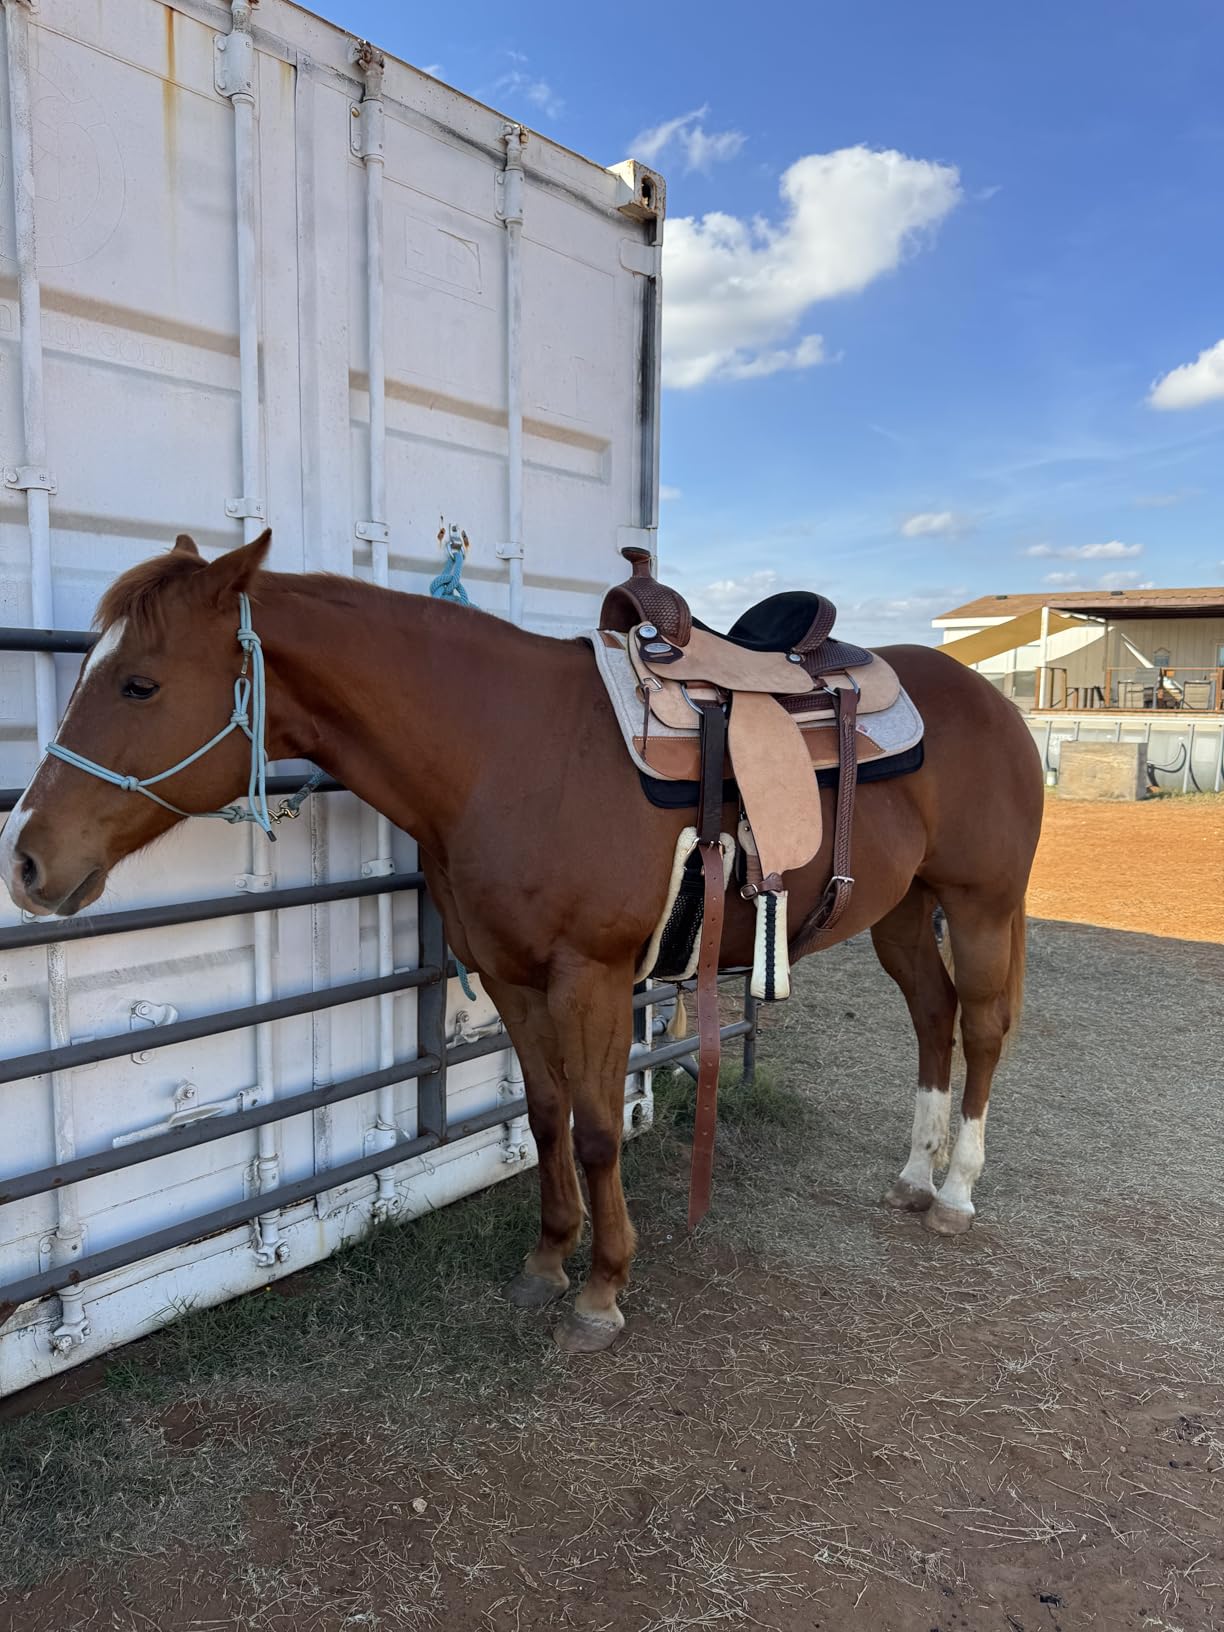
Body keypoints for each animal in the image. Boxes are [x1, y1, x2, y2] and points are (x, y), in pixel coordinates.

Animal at [0, 534, 1043, 1353]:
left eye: (140, 683)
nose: (26, 861)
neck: (507, 752)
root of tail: (991, 700)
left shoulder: (594, 977)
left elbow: (595, 1130)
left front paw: (603, 1287)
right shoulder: (511, 977)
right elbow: (544, 1117)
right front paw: (548, 1260)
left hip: (983, 906)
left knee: (984, 1028)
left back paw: (955, 1193)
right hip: (903, 911)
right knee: (935, 1019)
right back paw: (912, 1176)